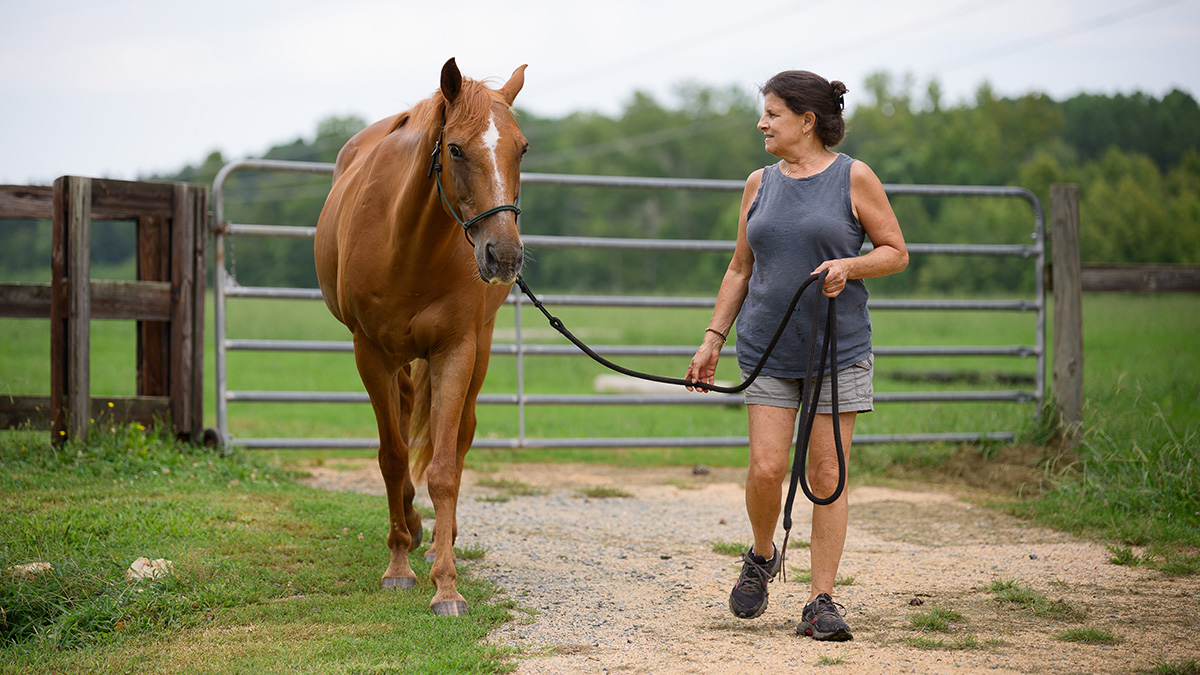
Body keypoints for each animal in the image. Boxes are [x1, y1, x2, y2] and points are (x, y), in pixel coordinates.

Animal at [314, 59, 525, 614]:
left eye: (522, 149)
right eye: (455, 149)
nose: (505, 255)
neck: (407, 244)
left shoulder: (456, 350)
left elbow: (445, 468)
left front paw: (445, 584)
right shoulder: (370, 353)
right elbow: (391, 459)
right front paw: (398, 567)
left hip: (479, 349)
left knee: (460, 433)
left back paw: (435, 539)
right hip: (395, 359)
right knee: (405, 416)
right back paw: (409, 528)